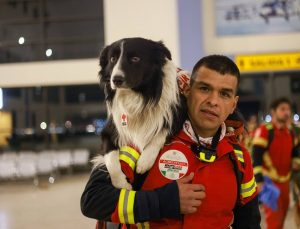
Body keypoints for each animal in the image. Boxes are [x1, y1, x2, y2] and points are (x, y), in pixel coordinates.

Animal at [95, 37, 186, 188]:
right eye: (113, 59)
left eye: (135, 58)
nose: (116, 79)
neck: (137, 96)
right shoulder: (108, 131)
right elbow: (111, 159)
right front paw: (122, 184)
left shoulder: (177, 115)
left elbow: (161, 133)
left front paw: (145, 161)